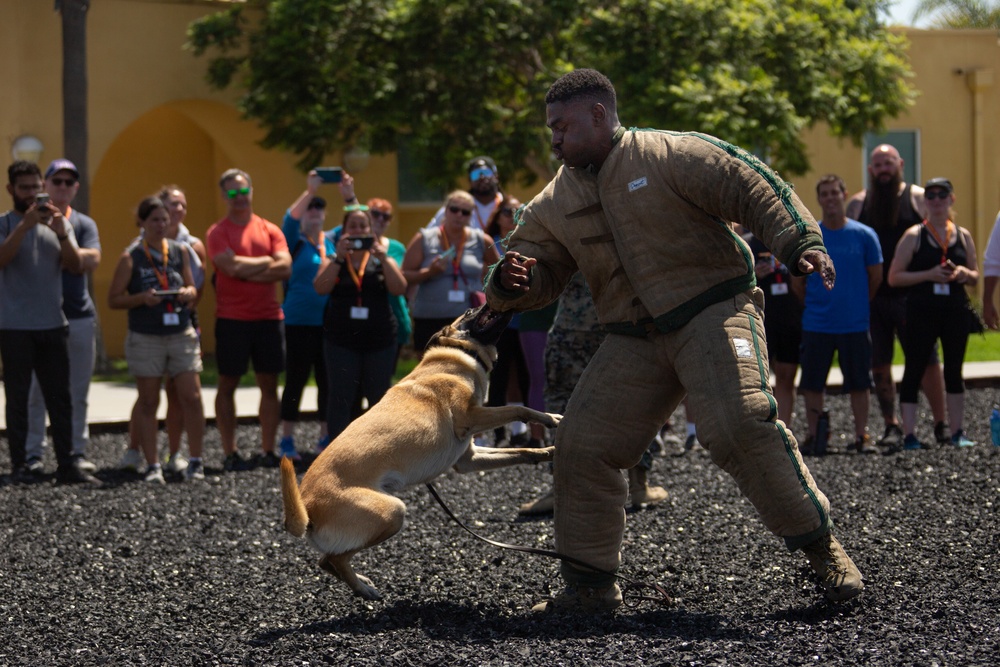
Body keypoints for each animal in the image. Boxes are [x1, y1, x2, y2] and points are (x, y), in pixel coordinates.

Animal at [280, 306, 564, 604]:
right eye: (469, 311)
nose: (486, 302)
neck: (459, 357)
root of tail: (306, 506)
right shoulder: (470, 417)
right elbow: (519, 409)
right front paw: (550, 418)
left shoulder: (468, 459)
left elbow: (520, 451)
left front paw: (549, 451)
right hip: (393, 512)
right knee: (334, 558)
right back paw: (363, 588)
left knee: (326, 560)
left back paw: (360, 582)